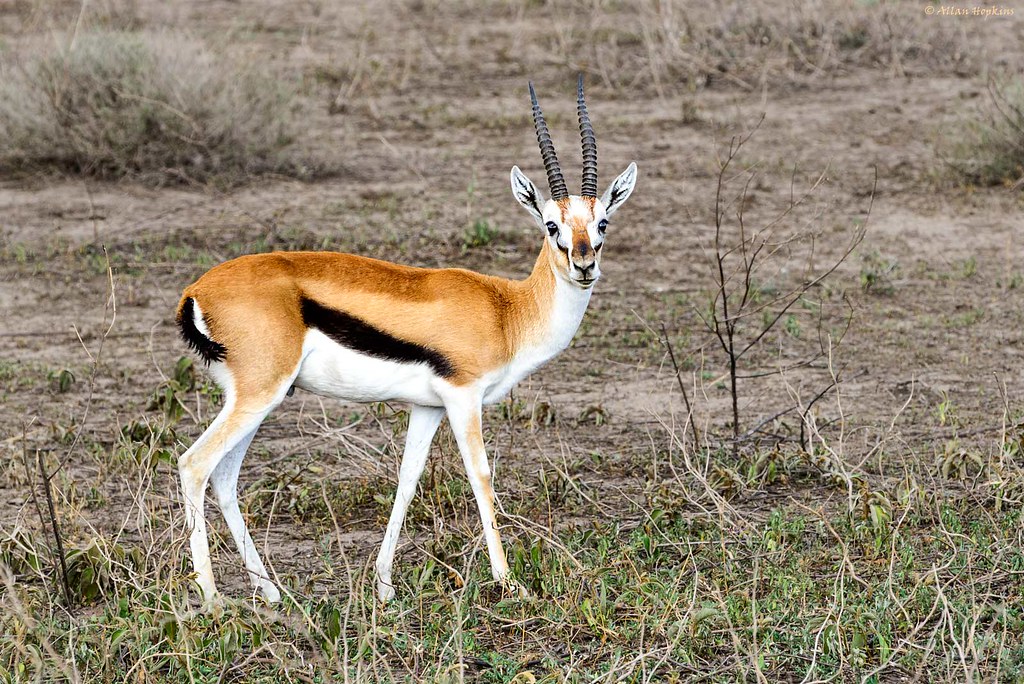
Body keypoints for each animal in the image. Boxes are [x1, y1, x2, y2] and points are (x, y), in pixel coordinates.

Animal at [175, 76, 637, 605]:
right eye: (551, 224)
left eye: (602, 222)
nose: (584, 265)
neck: (507, 311)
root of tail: (196, 291)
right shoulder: (463, 397)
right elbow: (481, 477)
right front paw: (510, 582)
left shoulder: (428, 407)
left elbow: (407, 480)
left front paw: (384, 585)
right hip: (258, 395)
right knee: (194, 465)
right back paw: (213, 600)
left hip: (258, 399)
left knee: (225, 477)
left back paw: (271, 593)